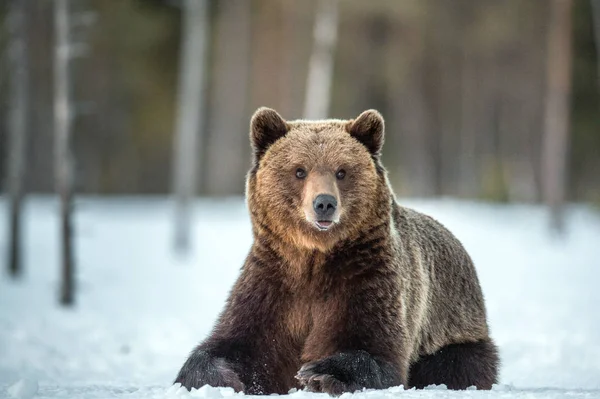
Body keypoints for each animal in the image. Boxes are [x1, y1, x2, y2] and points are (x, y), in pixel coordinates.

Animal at [172, 107, 496, 396]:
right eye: (299, 170)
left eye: (342, 171)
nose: (324, 203)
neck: (314, 258)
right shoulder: (272, 281)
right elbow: (238, 344)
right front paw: (216, 377)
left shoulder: (367, 277)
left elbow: (375, 349)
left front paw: (319, 373)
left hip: (454, 327)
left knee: (456, 364)